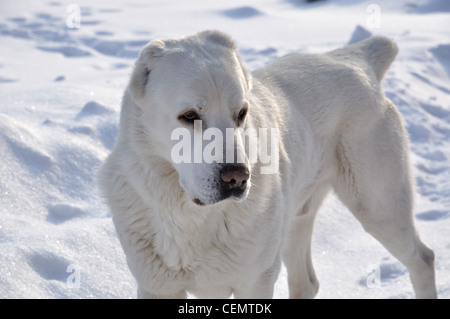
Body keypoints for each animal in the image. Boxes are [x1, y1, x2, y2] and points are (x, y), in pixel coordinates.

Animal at [97, 31, 436, 298]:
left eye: (241, 113)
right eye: (189, 116)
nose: (237, 177)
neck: (191, 216)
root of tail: (355, 59)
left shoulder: (255, 281)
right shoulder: (156, 287)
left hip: (379, 207)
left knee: (423, 259)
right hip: (296, 220)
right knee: (306, 283)